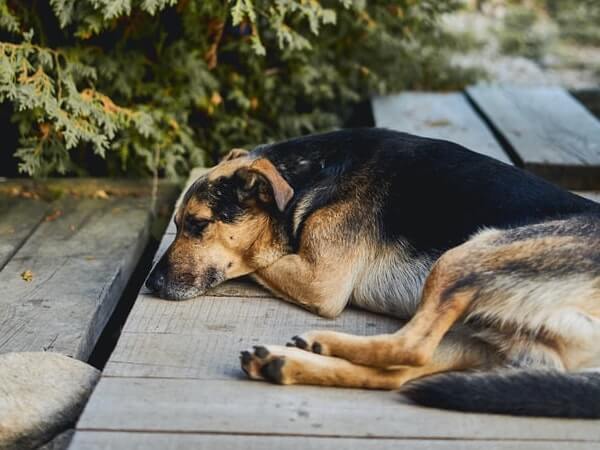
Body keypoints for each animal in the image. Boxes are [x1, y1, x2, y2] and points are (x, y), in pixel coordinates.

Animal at [145, 126, 600, 418]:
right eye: (177, 223)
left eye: (198, 224)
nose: (150, 284)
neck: (315, 173)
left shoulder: (321, 282)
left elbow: (256, 257)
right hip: (482, 333)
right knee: (398, 374)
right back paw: (284, 362)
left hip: (466, 256)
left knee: (411, 347)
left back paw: (320, 343)